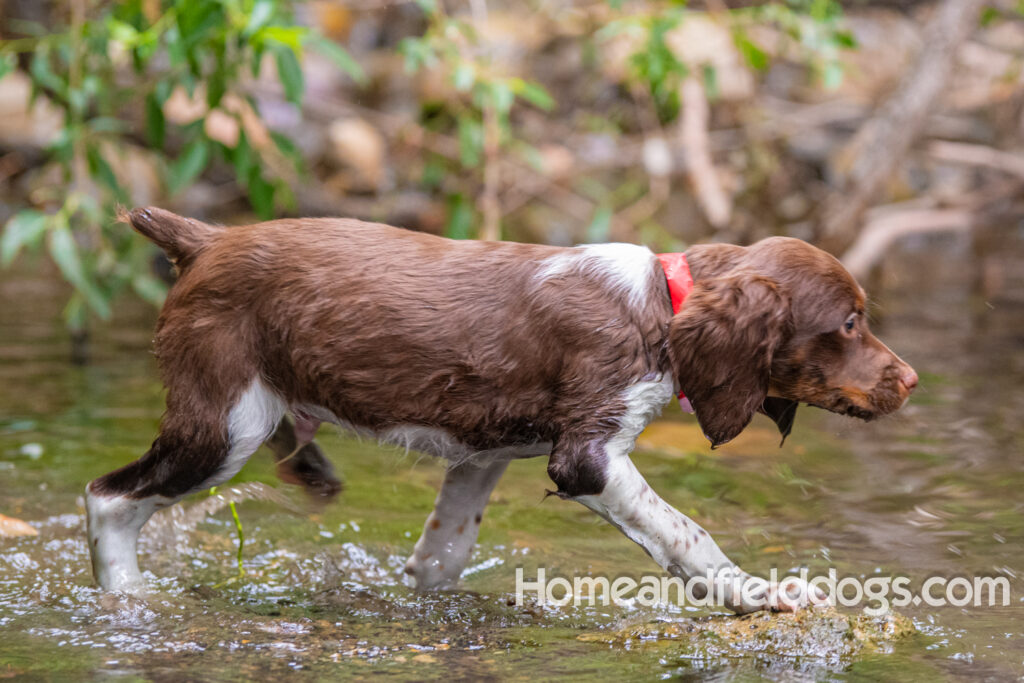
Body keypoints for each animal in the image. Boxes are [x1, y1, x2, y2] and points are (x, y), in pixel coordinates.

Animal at [86, 209, 921, 614]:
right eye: (849, 322)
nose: (912, 380)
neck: (662, 303)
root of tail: (206, 240)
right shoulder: (587, 455)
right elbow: (687, 531)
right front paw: (760, 593)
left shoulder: (480, 456)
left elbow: (441, 555)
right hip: (227, 423)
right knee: (109, 497)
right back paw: (127, 597)